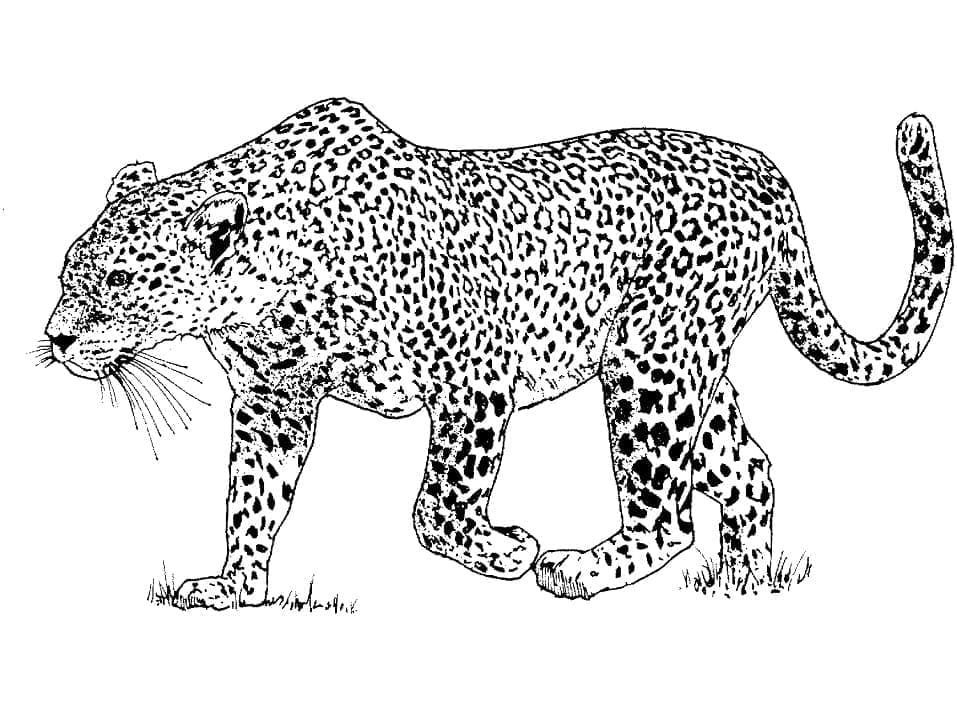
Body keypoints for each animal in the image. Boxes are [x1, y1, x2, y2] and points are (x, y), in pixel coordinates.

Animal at [43, 98, 951, 607]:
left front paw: (504, 550)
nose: (54, 338)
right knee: (747, 466)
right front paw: (234, 587)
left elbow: (435, 504)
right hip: (690, 368)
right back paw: (745, 587)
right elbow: (250, 497)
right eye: (65, 272)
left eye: (119, 279)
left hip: (647, 365)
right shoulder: (274, 402)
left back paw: (581, 568)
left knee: (668, 511)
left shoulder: (472, 378)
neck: (270, 292)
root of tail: (770, 173)